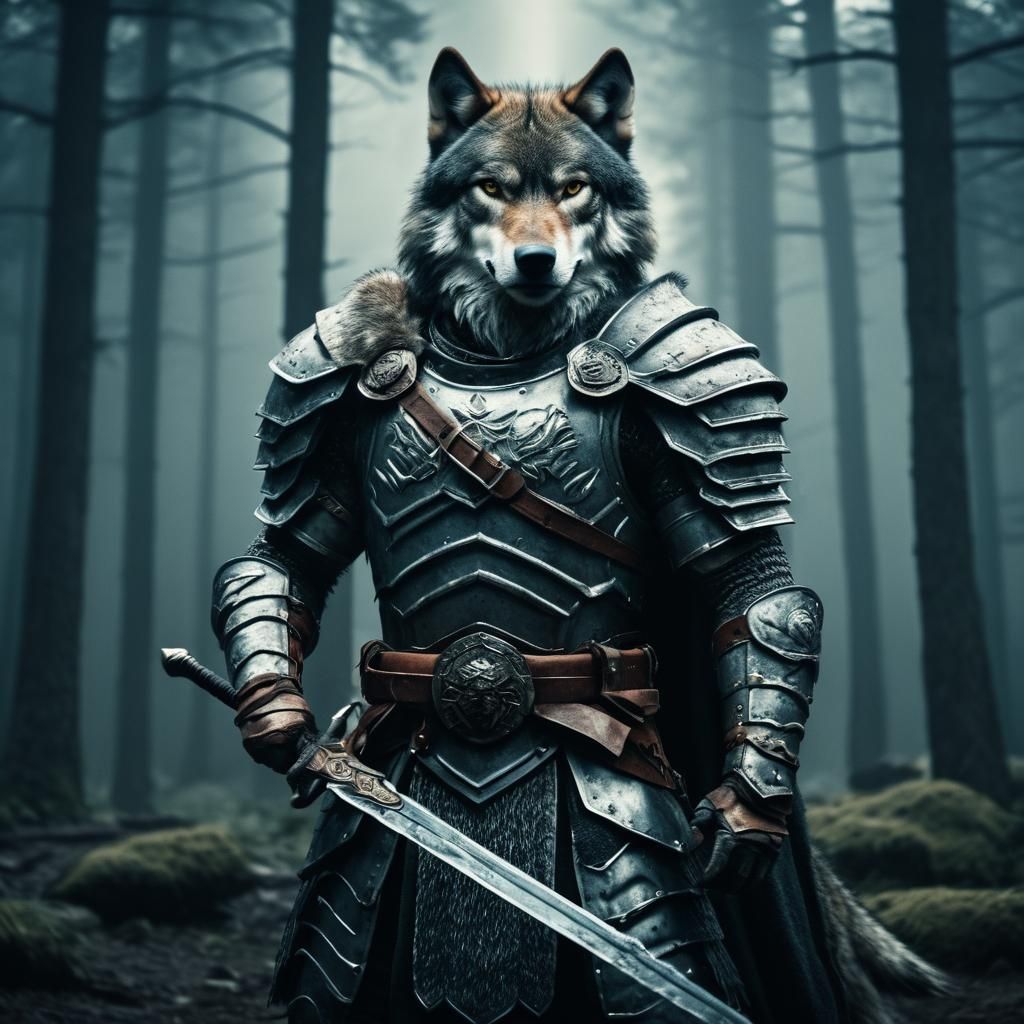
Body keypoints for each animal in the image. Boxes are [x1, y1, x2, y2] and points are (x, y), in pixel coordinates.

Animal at [215, 47, 949, 1024]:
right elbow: (286, 557)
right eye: (490, 187)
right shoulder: (321, 379)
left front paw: (743, 817)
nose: (535, 260)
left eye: (574, 189)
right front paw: (279, 723)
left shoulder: (698, 383)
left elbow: (754, 590)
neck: (506, 346)